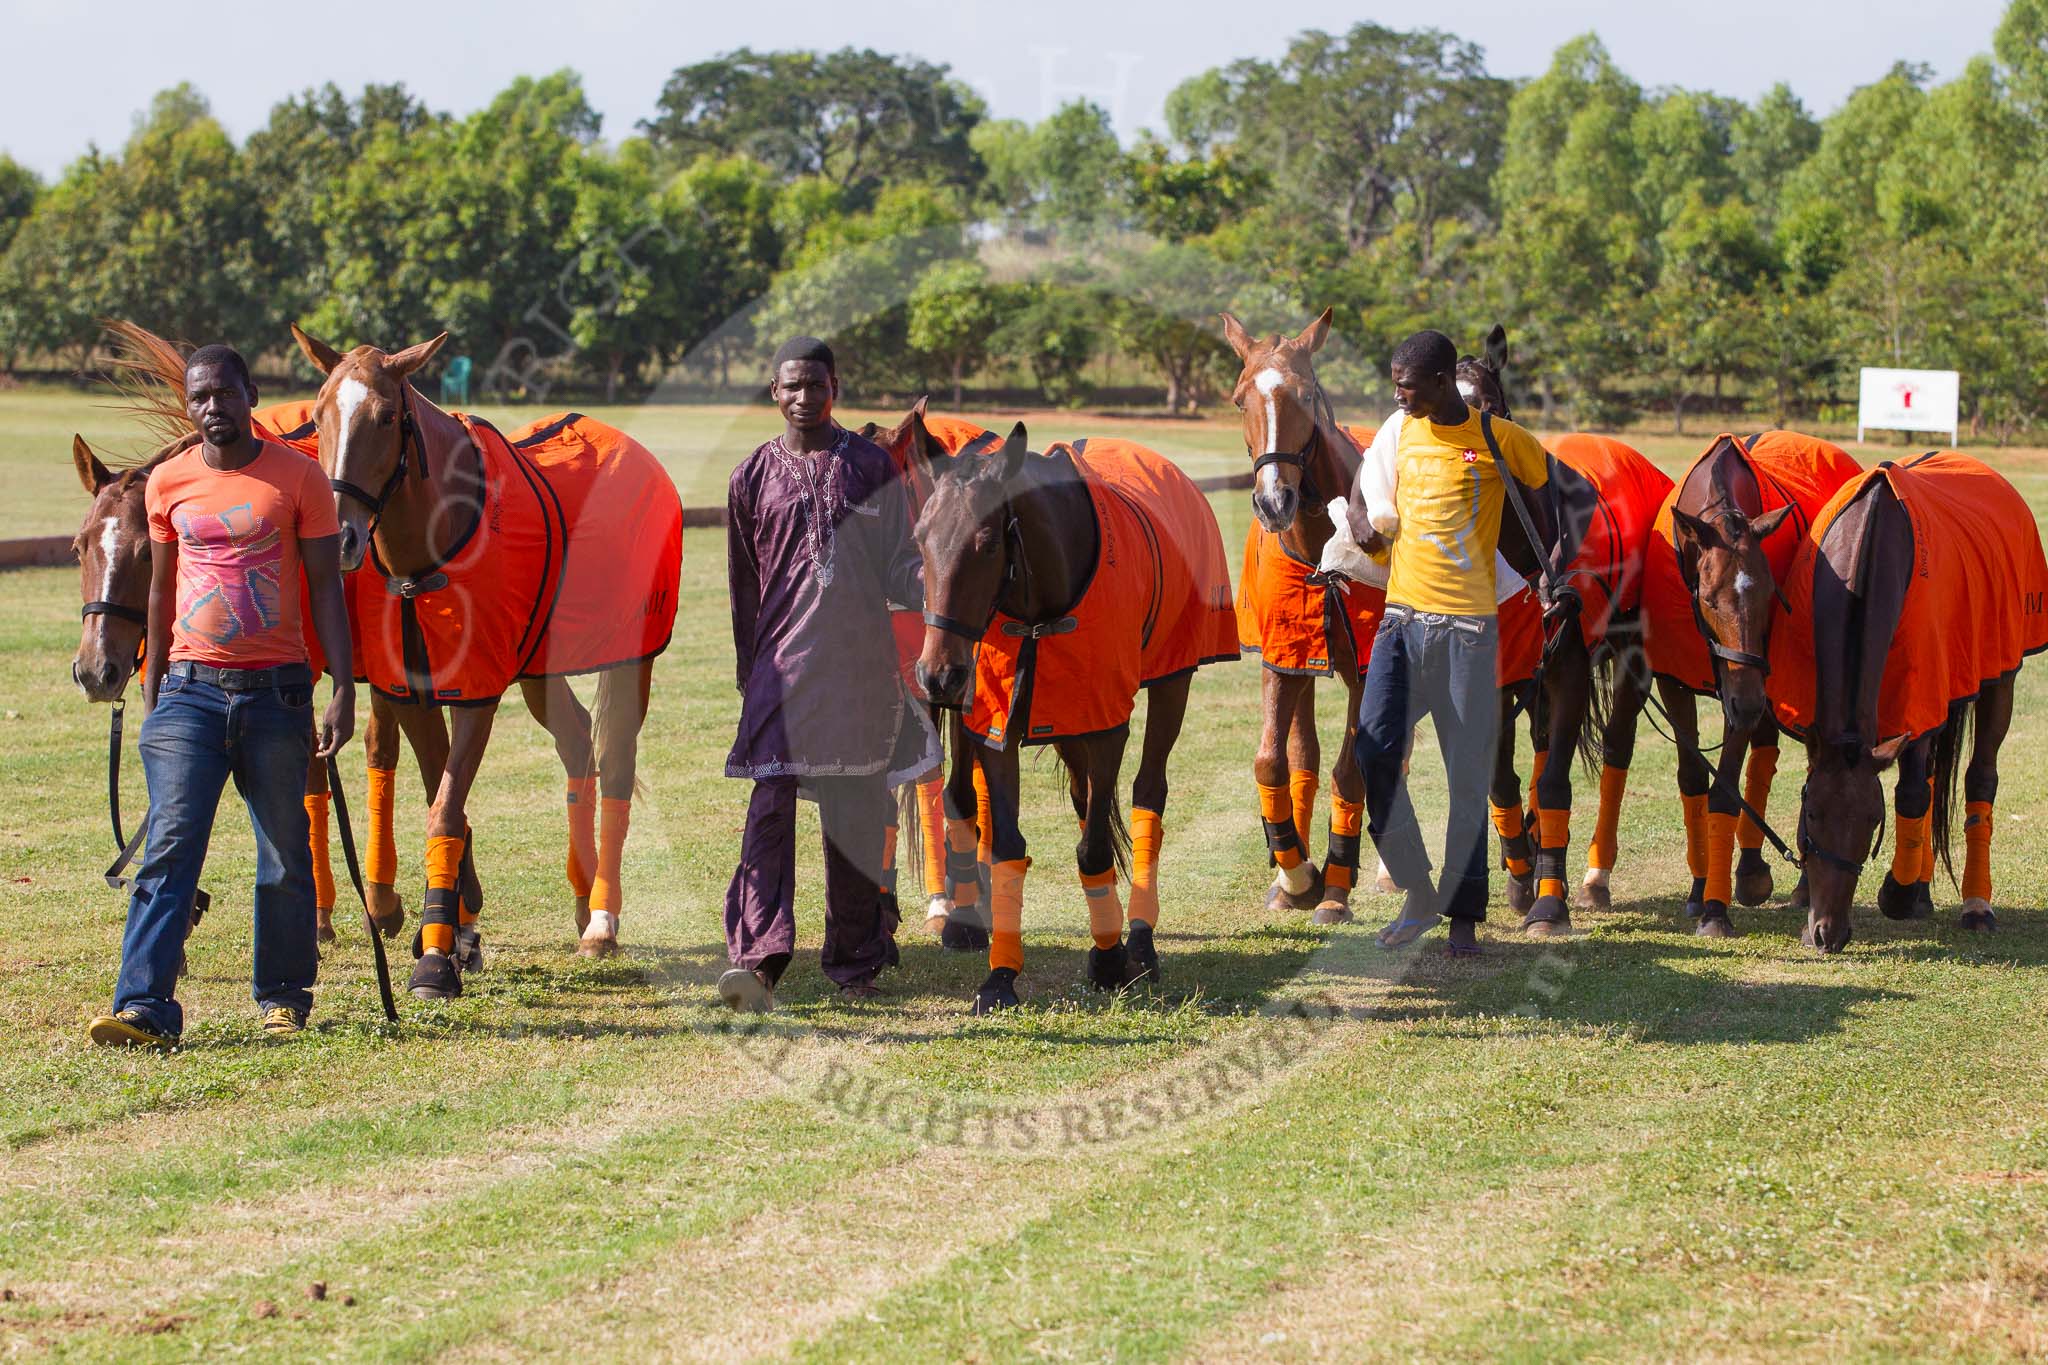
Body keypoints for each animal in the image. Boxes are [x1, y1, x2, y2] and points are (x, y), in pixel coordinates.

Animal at [909, 427, 1228, 1015]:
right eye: (921, 537)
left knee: (1148, 794)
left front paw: (1107, 961)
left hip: (1172, 681)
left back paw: (1140, 941)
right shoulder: (1000, 724)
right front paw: (1001, 975)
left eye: (987, 544)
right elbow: (1009, 844)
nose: (938, 675)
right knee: (1079, 802)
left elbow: (1095, 844)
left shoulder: (1106, 726)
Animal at [1769, 454, 2039, 957]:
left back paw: (1974, 905)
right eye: (1813, 814)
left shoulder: (1920, 695)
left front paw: (1896, 893)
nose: (1828, 933)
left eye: (1873, 821)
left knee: (1979, 779)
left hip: (2000, 677)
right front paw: (1803, 892)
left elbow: (1912, 794)